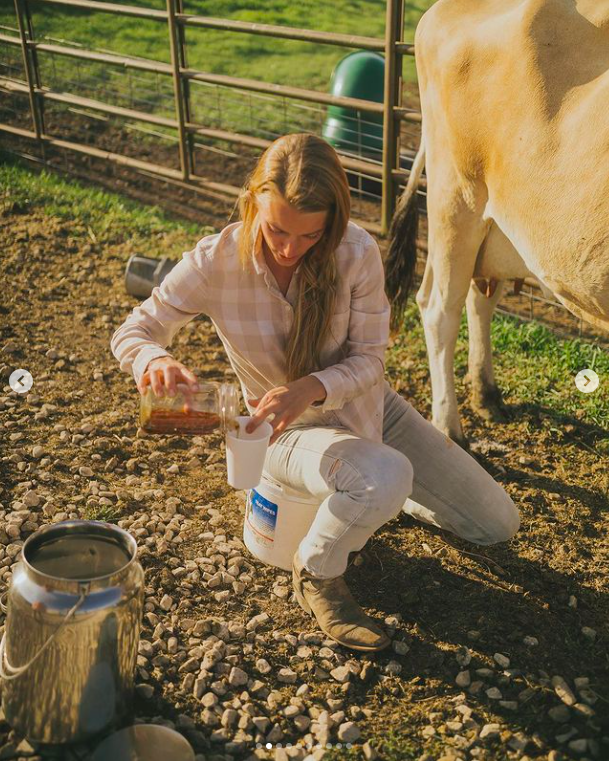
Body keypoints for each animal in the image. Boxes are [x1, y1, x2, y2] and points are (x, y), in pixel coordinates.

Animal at [384, 0, 608, 446]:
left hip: (501, 220)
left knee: (479, 297)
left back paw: (485, 394)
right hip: (456, 198)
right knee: (439, 307)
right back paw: (449, 429)